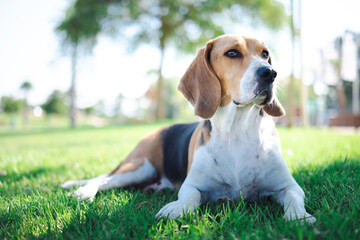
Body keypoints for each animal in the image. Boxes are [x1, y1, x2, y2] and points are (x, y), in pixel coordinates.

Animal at [62, 33, 316, 223]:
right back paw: (84, 191)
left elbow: (294, 198)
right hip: (139, 167)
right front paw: (176, 208)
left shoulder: (288, 185)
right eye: (232, 53)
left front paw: (300, 217)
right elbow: (190, 197)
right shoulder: (192, 185)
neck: (236, 131)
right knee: (104, 180)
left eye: (265, 54)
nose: (270, 73)